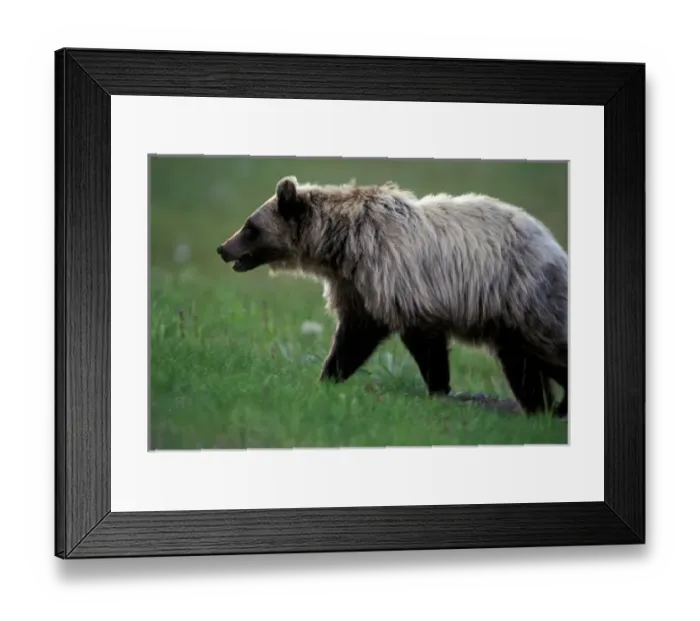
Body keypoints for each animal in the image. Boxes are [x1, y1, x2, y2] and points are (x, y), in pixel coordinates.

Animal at [216, 175, 568, 417]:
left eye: (250, 227)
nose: (223, 248)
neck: (341, 246)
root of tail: (552, 243)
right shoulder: (354, 286)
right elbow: (353, 336)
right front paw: (327, 377)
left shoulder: (398, 279)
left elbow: (406, 339)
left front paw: (438, 388)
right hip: (507, 320)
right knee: (520, 364)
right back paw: (541, 407)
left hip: (523, 297)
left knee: (549, 349)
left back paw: (556, 405)